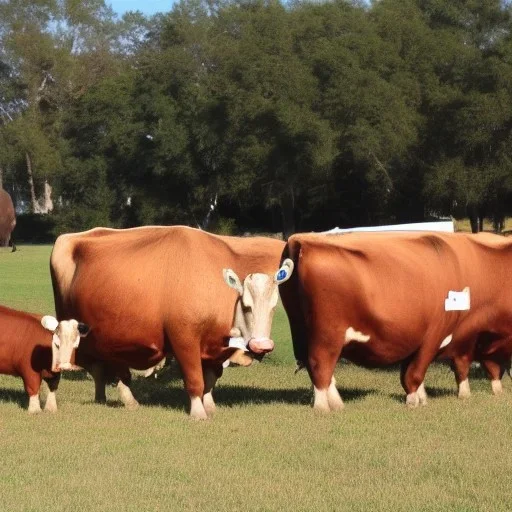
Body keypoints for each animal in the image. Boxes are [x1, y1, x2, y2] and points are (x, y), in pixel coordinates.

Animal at [51, 226, 296, 418]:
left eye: (274, 306)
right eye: (246, 305)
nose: (262, 346)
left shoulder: (214, 348)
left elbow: (210, 380)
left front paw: (210, 406)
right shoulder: (184, 340)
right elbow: (195, 379)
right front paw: (198, 412)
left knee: (108, 367)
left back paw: (116, 398)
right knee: (96, 366)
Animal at [278, 230, 512, 410]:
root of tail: (302, 240)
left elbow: (418, 370)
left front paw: (423, 397)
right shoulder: (435, 334)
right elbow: (415, 372)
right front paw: (413, 401)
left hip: (301, 329)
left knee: (317, 367)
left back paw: (337, 403)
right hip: (326, 336)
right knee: (320, 365)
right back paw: (323, 407)